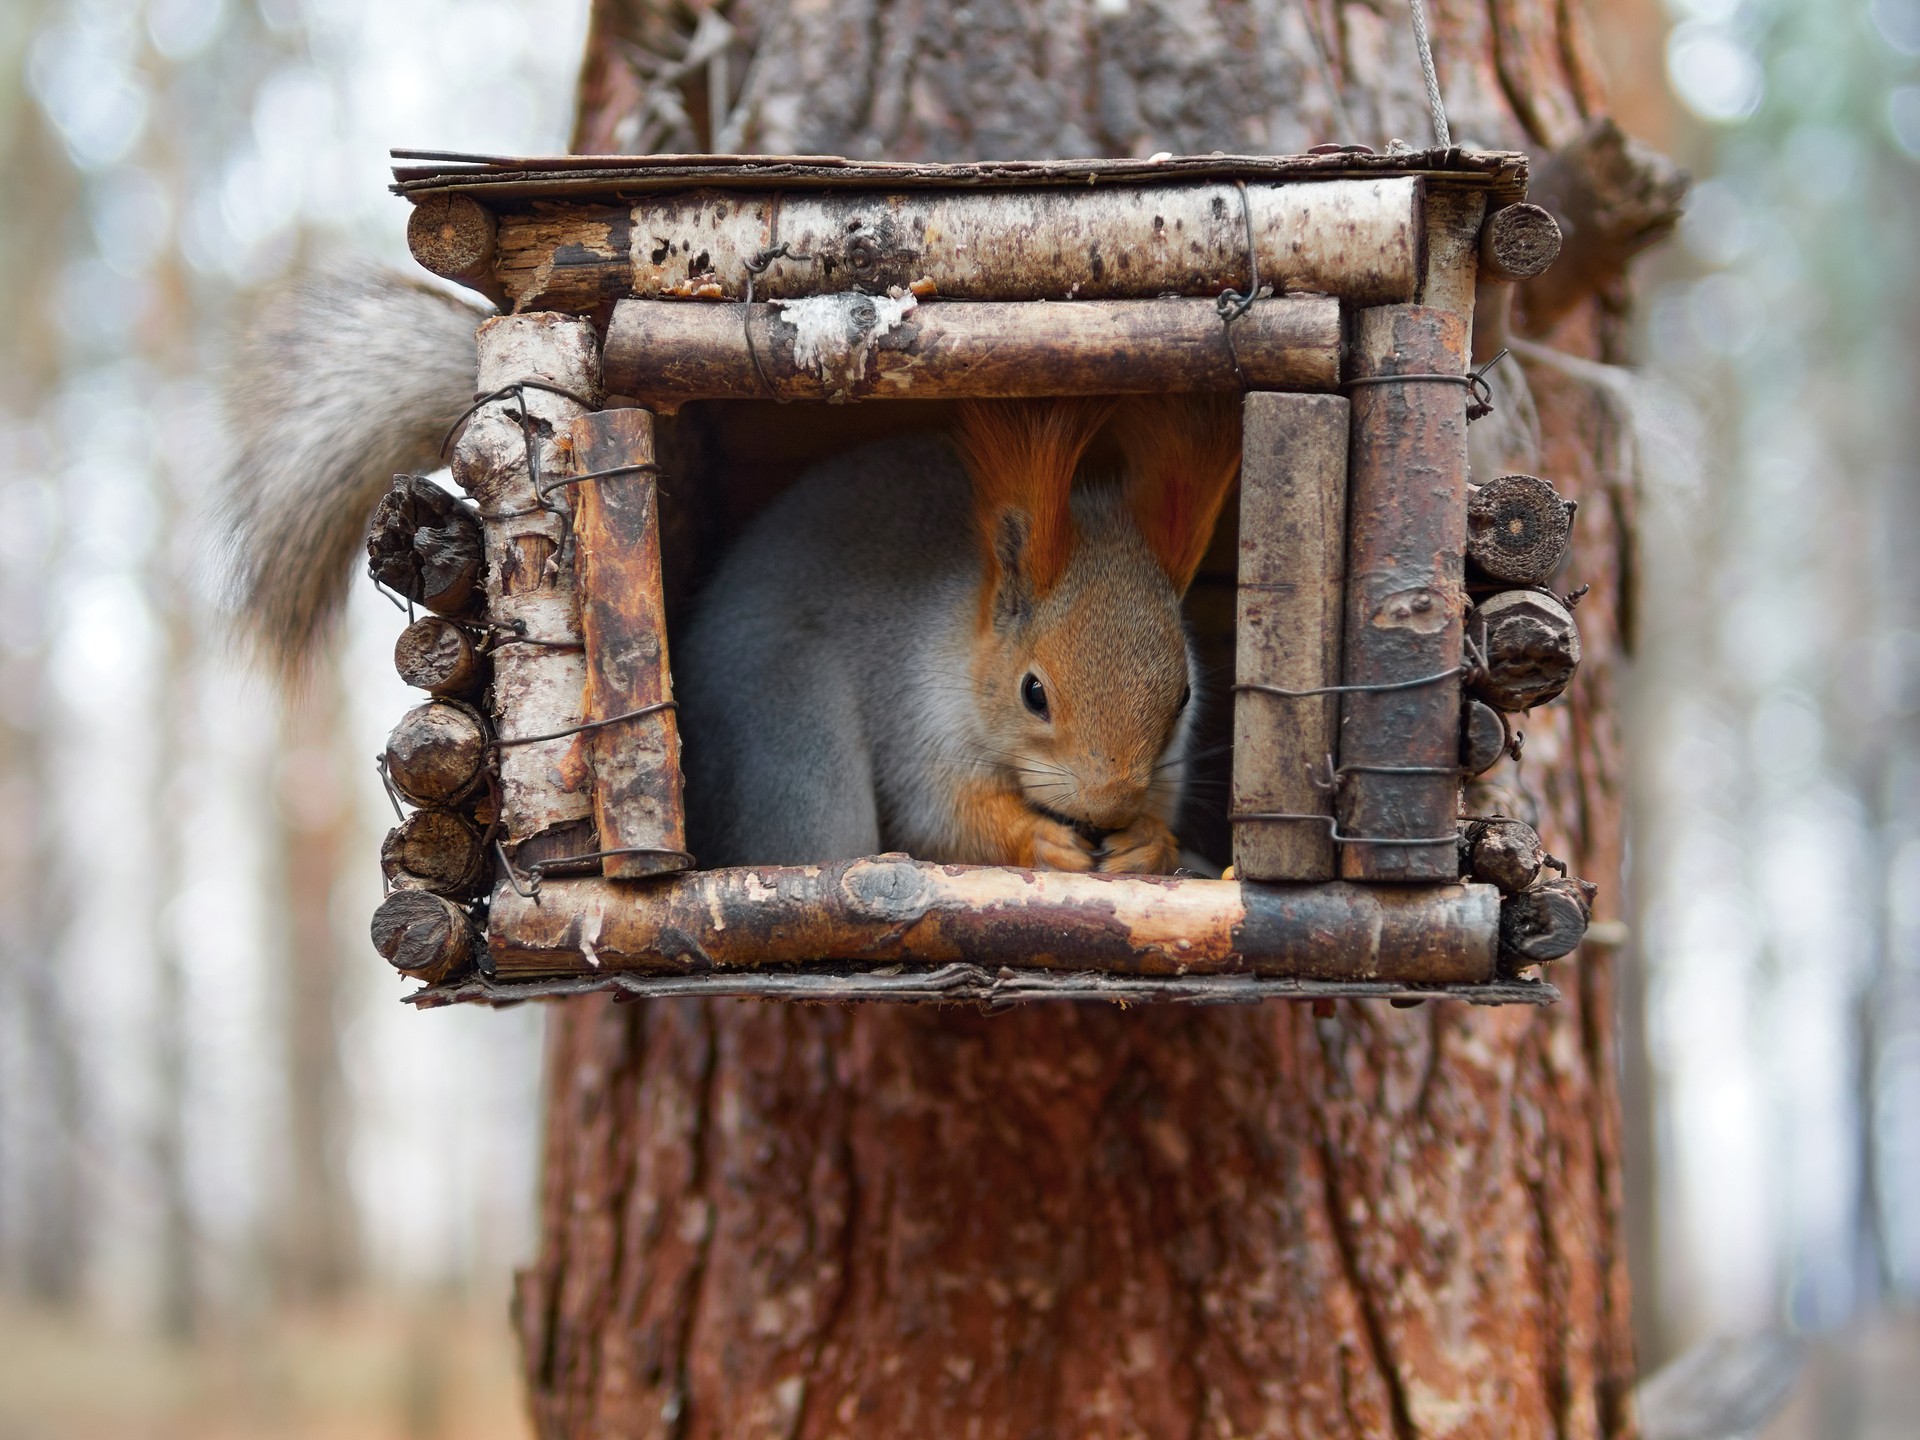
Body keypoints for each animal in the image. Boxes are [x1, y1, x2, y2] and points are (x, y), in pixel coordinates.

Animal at [220, 272, 1244, 879]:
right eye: (1034, 693)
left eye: (1185, 696)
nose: (1108, 804)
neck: (972, 631)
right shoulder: (917, 715)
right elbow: (943, 818)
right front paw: (1039, 836)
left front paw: (1150, 842)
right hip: (793, 736)